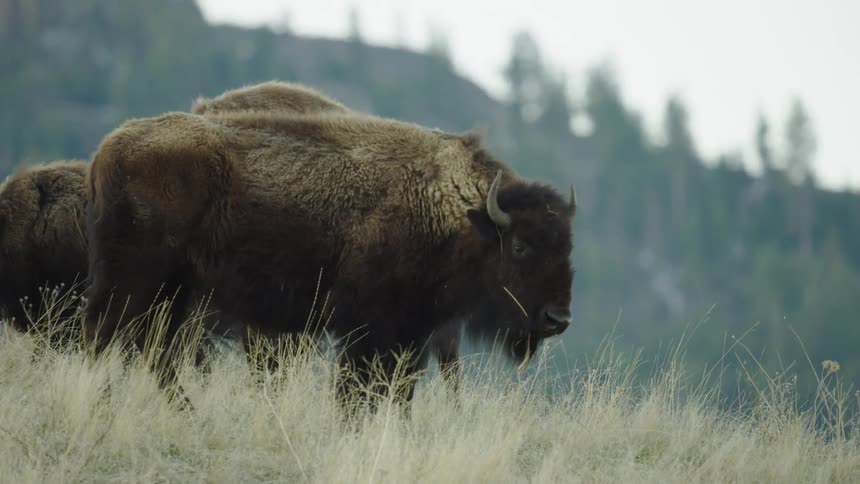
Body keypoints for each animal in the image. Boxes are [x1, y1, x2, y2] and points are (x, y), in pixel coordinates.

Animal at [84, 101, 576, 404]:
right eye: (520, 245)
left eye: (567, 248)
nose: (557, 319)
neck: (449, 207)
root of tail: (108, 148)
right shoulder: (365, 331)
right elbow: (354, 394)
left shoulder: (410, 338)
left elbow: (397, 395)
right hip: (134, 282)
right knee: (105, 336)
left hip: (174, 291)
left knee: (151, 350)